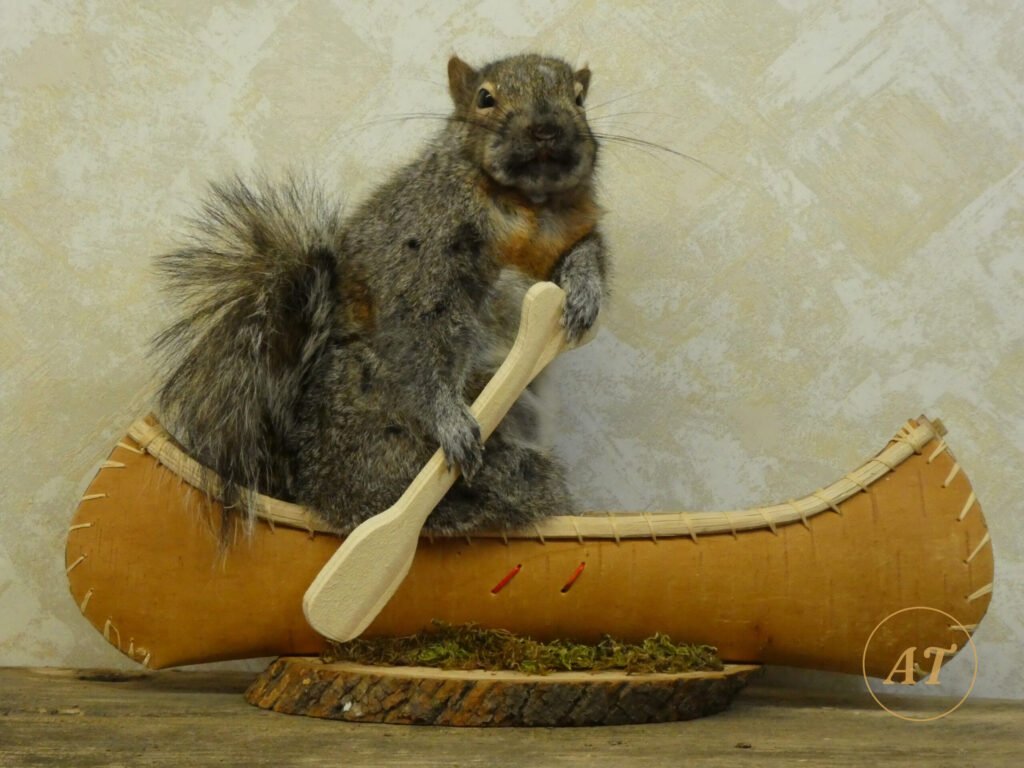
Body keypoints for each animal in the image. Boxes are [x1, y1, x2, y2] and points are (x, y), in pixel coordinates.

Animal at [153, 53, 609, 536]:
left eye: (579, 99)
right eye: (485, 98)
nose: (546, 129)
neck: (528, 205)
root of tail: (313, 490)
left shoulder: (571, 234)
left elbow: (588, 252)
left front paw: (585, 292)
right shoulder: (421, 248)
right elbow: (423, 332)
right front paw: (449, 421)